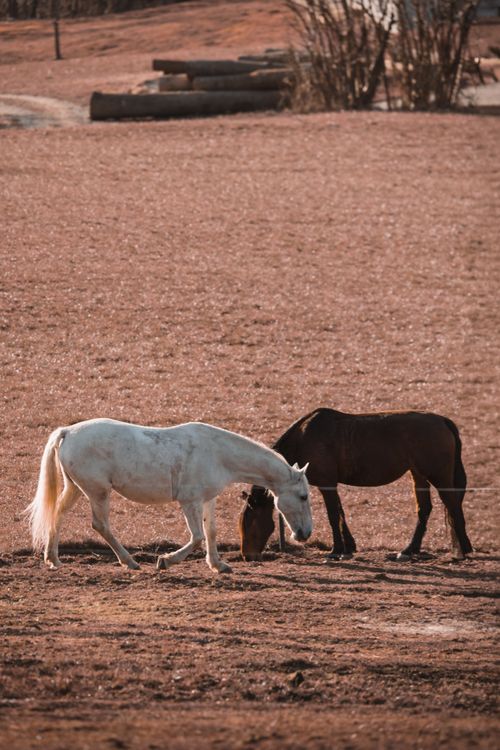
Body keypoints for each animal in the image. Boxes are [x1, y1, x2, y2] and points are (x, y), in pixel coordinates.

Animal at [26, 418, 312, 573]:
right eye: (303, 496)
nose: (305, 534)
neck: (218, 453)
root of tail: (67, 432)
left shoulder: (207, 500)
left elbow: (210, 532)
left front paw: (218, 565)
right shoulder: (189, 502)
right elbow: (196, 537)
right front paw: (165, 561)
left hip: (76, 487)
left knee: (58, 513)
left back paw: (53, 559)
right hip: (98, 492)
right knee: (100, 525)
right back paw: (130, 562)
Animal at [239, 408, 472, 562]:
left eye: (249, 523)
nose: (247, 556)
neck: (305, 437)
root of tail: (442, 420)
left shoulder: (327, 485)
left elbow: (334, 515)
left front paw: (336, 549)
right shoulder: (331, 485)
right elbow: (341, 514)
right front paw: (349, 546)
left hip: (438, 476)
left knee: (452, 505)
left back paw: (464, 549)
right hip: (419, 475)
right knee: (424, 509)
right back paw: (410, 549)